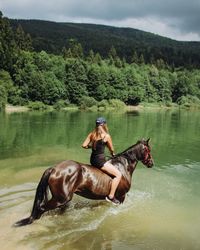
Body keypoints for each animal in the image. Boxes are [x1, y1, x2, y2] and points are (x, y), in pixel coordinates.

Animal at [14, 139, 153, 227]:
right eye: (149, 150)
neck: (123, 166)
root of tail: (54, 169)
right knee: (41, 208)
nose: (152, 163)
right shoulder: (121, 196)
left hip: (63, 200)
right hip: (61, 199)